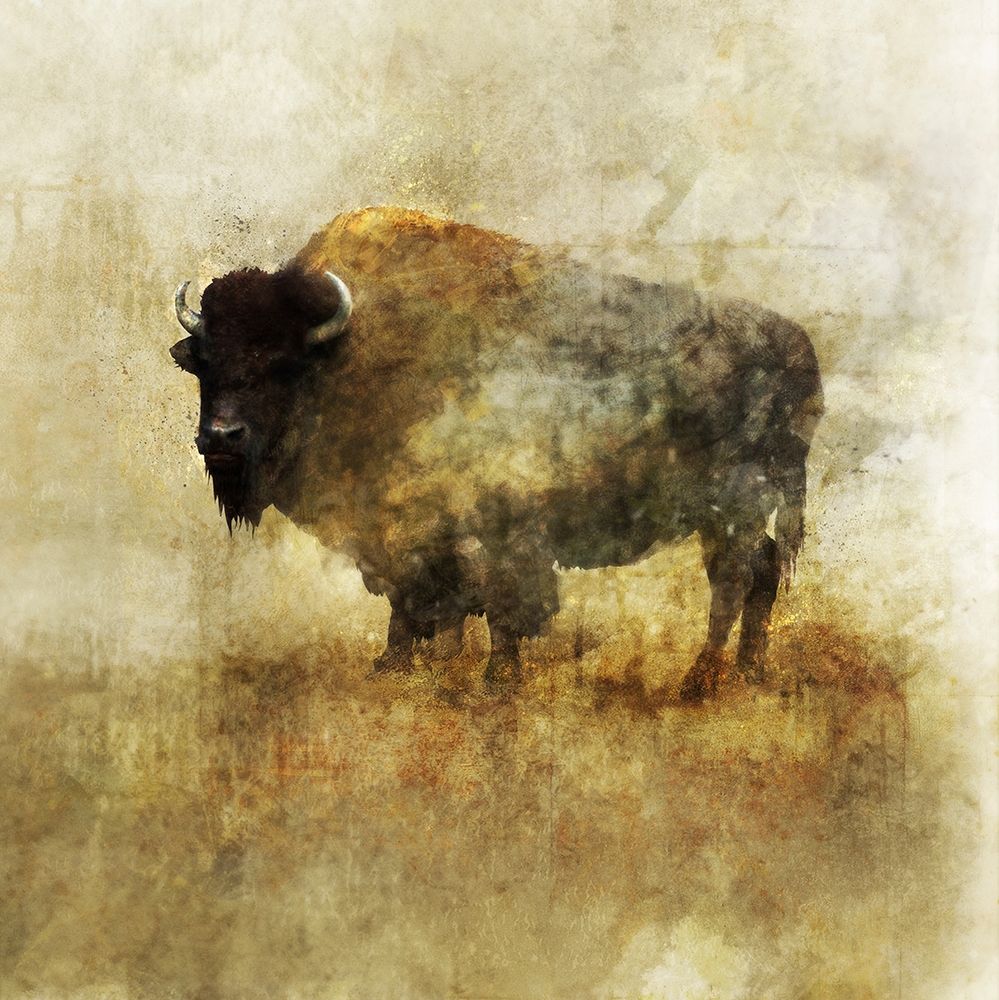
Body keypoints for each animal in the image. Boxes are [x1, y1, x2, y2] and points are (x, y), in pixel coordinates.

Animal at [171, 207, 822, 700]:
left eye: (281, 364)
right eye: (203, 362)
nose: (221, 438)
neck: (350, 355)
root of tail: (795, 344)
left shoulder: (488, 526)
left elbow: (497, 601)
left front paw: (495, 678)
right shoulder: (401, 531)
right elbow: (421, 602)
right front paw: (399, 666)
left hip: (731, 506)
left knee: (734, 578)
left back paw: (700, 682)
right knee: (764, 571)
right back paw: (751, 672)